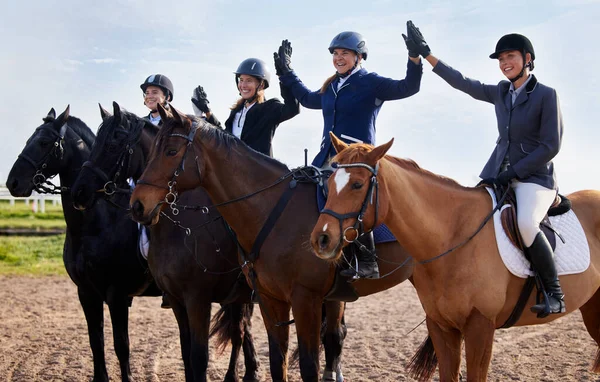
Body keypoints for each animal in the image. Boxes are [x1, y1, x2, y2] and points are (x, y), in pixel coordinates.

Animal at [5, 105, 161, 382]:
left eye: (44, 142)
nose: (12, 182)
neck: (95, 224)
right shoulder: (87, 293)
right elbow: (95, 342)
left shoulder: (117, 294)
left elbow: (122, 346)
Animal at [68, 102, 260, 382]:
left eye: (112, 144)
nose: (78, 192)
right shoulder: (174, 298)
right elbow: (186, 354)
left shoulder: (194, 299)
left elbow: (197, 357)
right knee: (240, 331)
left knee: (241, 332)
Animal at [128, 104, 414, 382]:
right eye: (152, 151)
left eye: (171, 151)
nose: (137, 204)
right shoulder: (268, 299)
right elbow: (277, 362)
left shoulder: (302, 299)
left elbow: (307, 366)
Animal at [312, 132, 600, 382]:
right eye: (329, 184)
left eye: (357, 184)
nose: (321, 239)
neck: (453, 236)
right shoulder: (441, 326)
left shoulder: (480, 327)